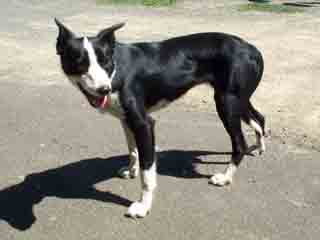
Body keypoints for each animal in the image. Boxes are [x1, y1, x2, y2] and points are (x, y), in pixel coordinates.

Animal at [54, 18, 264, 218]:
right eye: (80, 63)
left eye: (105, 61)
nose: (104, 89)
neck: (116, 70)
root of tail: (251, 48)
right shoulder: (126, 120)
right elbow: (133, 150)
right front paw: (132, 171)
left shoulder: (144, 124)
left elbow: (147, 173)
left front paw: (143, 206)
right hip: (237, 100)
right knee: (260, 119)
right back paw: (258, 148)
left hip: (226, 102)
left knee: (239, 143)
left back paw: (226, 177)